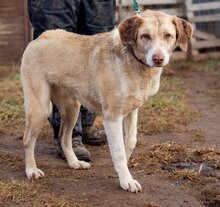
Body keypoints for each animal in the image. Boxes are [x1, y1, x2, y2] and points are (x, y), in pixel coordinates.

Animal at [20, 10, 192, 192]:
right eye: (145, 36)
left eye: (168, 35)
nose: (158, 59)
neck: (133, 61)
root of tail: (40, 38)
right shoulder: (112, 117)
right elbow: (118, 151)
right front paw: (126, 180)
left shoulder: (132, 111)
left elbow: (130, 142)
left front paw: (123, 168)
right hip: (40, 108)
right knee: (27, 140)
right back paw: (31, 170)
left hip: (72, 108)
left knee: (64, 138)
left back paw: (74, 162)